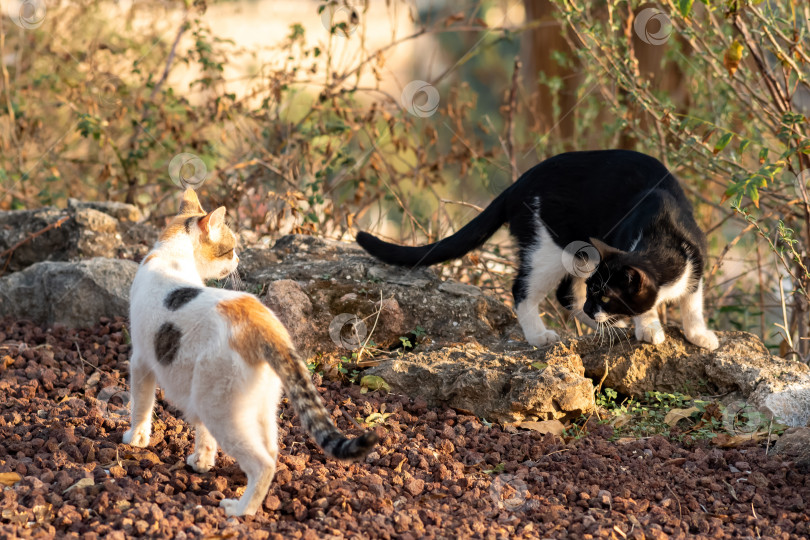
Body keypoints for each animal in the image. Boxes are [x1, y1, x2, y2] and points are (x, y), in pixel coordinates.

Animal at [124, 188, 378, 516]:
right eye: (231, 249)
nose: (239, 258)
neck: (170, 254)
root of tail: (265, 324)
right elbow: (203, 435)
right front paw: (202, 462)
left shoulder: (141, 361)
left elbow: (140, 406)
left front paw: (135, 439)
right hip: (256, 405)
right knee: (271, 451)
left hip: (220, 407)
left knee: (262, 463)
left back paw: (240, 510)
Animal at [356, 150, 716, 350]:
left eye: (605, 295)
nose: (594, 308)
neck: (662, 237)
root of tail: (520, 182)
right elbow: (648, 306)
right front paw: (650, 328)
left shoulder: (696, 265)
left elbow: (693, 303)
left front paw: (699, 335)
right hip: (549, 247)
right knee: (524, 289)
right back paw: (540, 336)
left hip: (580, 253)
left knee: (565, 295)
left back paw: (599, 326)